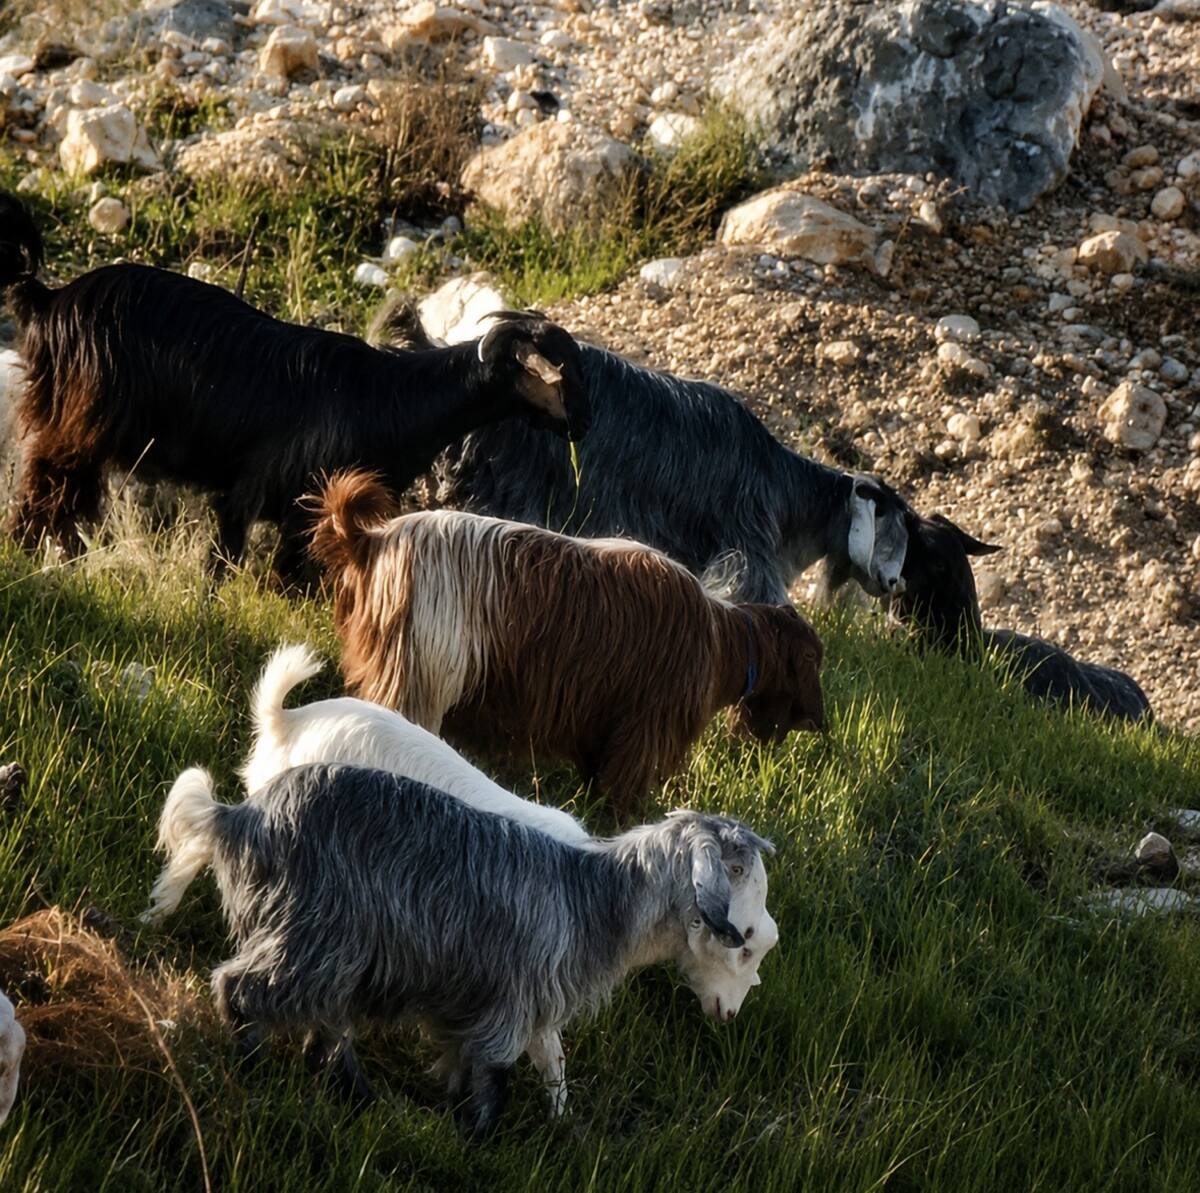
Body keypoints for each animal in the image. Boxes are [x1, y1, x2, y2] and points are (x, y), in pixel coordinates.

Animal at [0, 194, 590, 580]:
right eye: (555, 372)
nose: (583, 425)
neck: (395, 398)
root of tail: (48, 299)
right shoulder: (263, 490)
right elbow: (238, 563)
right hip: (78, 423)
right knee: (46, 484)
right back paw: (32, 549)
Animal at [146, 762, 778, 1138]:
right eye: (747, 941)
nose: (731, 1013)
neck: (595, 900)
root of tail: (238, 817)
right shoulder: (511, 998)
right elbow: (493, 1075)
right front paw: (480, 1140)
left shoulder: (469, 1002)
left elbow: (461, 1064)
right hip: (313, 931)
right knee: (244, 989)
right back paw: (250, 1068)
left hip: (330, 946)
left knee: (324, 1027)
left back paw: (357, 1095)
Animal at [308, 471, 825, 817]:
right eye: (811, 661)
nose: (820, 722)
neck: (721, 643)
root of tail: (372, 541)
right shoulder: (642, 731)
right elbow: (621, 794)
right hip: (418, 679)